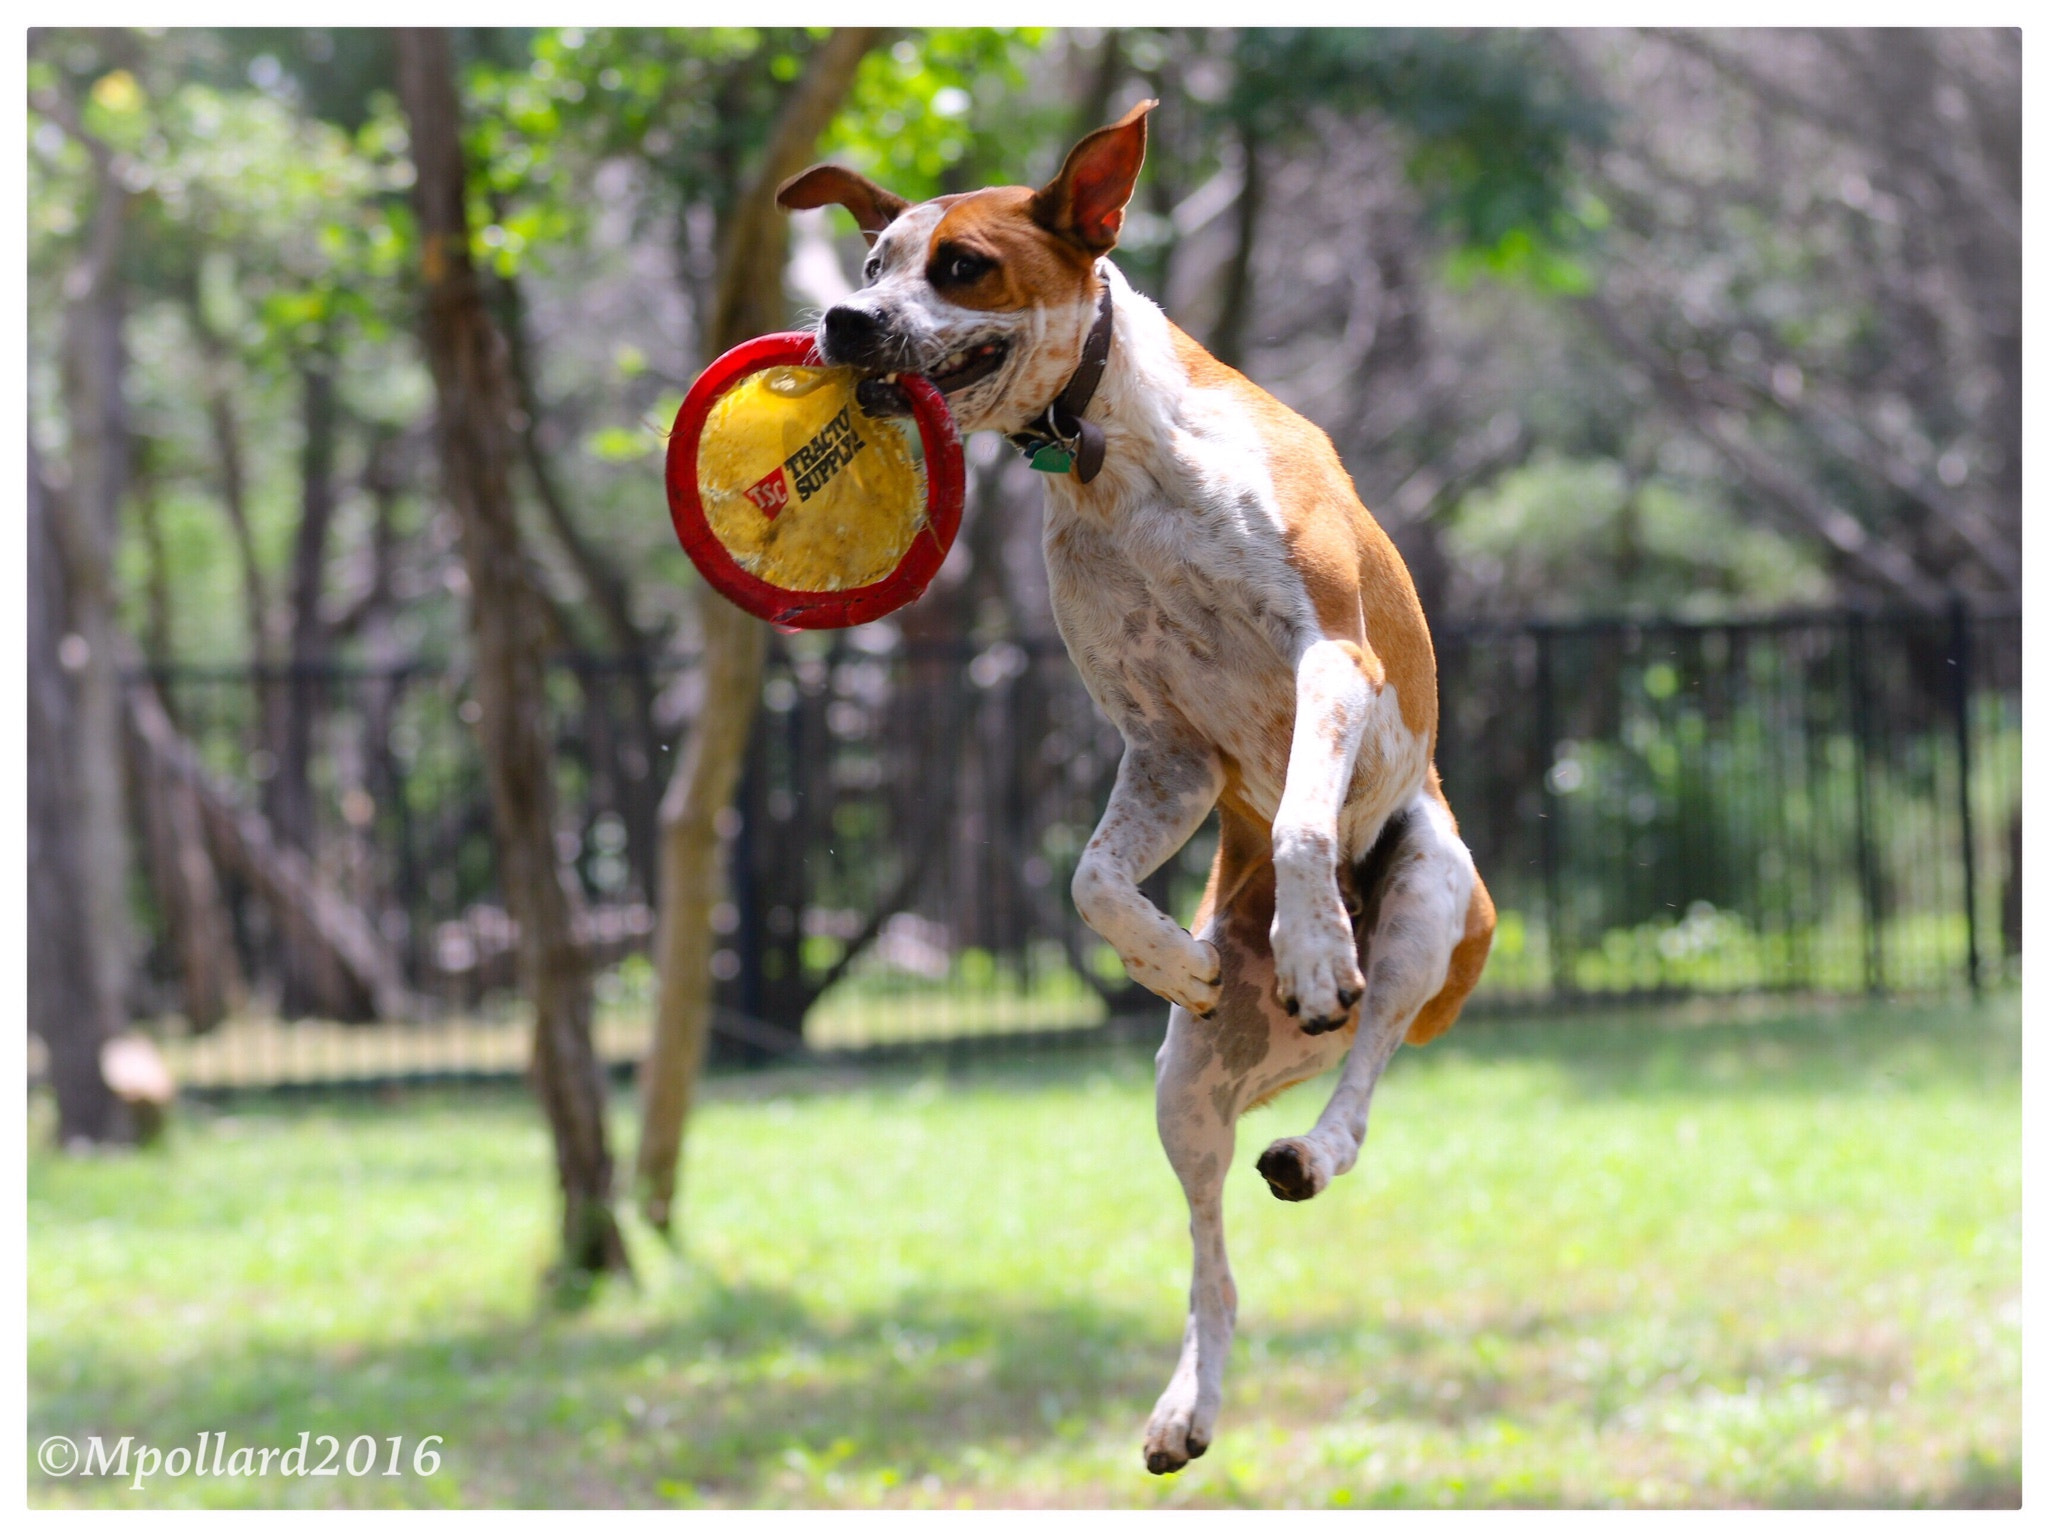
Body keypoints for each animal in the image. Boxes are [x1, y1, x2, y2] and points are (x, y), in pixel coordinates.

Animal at [774, 99, 1499, 1482]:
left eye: (960, 266)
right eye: (870, 258)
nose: (839, 320)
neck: (1111, 454)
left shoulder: (1330, 663)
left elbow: (1304, 818)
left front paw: (1308, 941)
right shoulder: (1164, 746)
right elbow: (1090, 877)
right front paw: (1173, 956)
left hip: (1432, 894)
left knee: (1370, 1062)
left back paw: (1318, 1090)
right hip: (1185, 1093)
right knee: (1214, 1266)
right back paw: (1187, 1404)